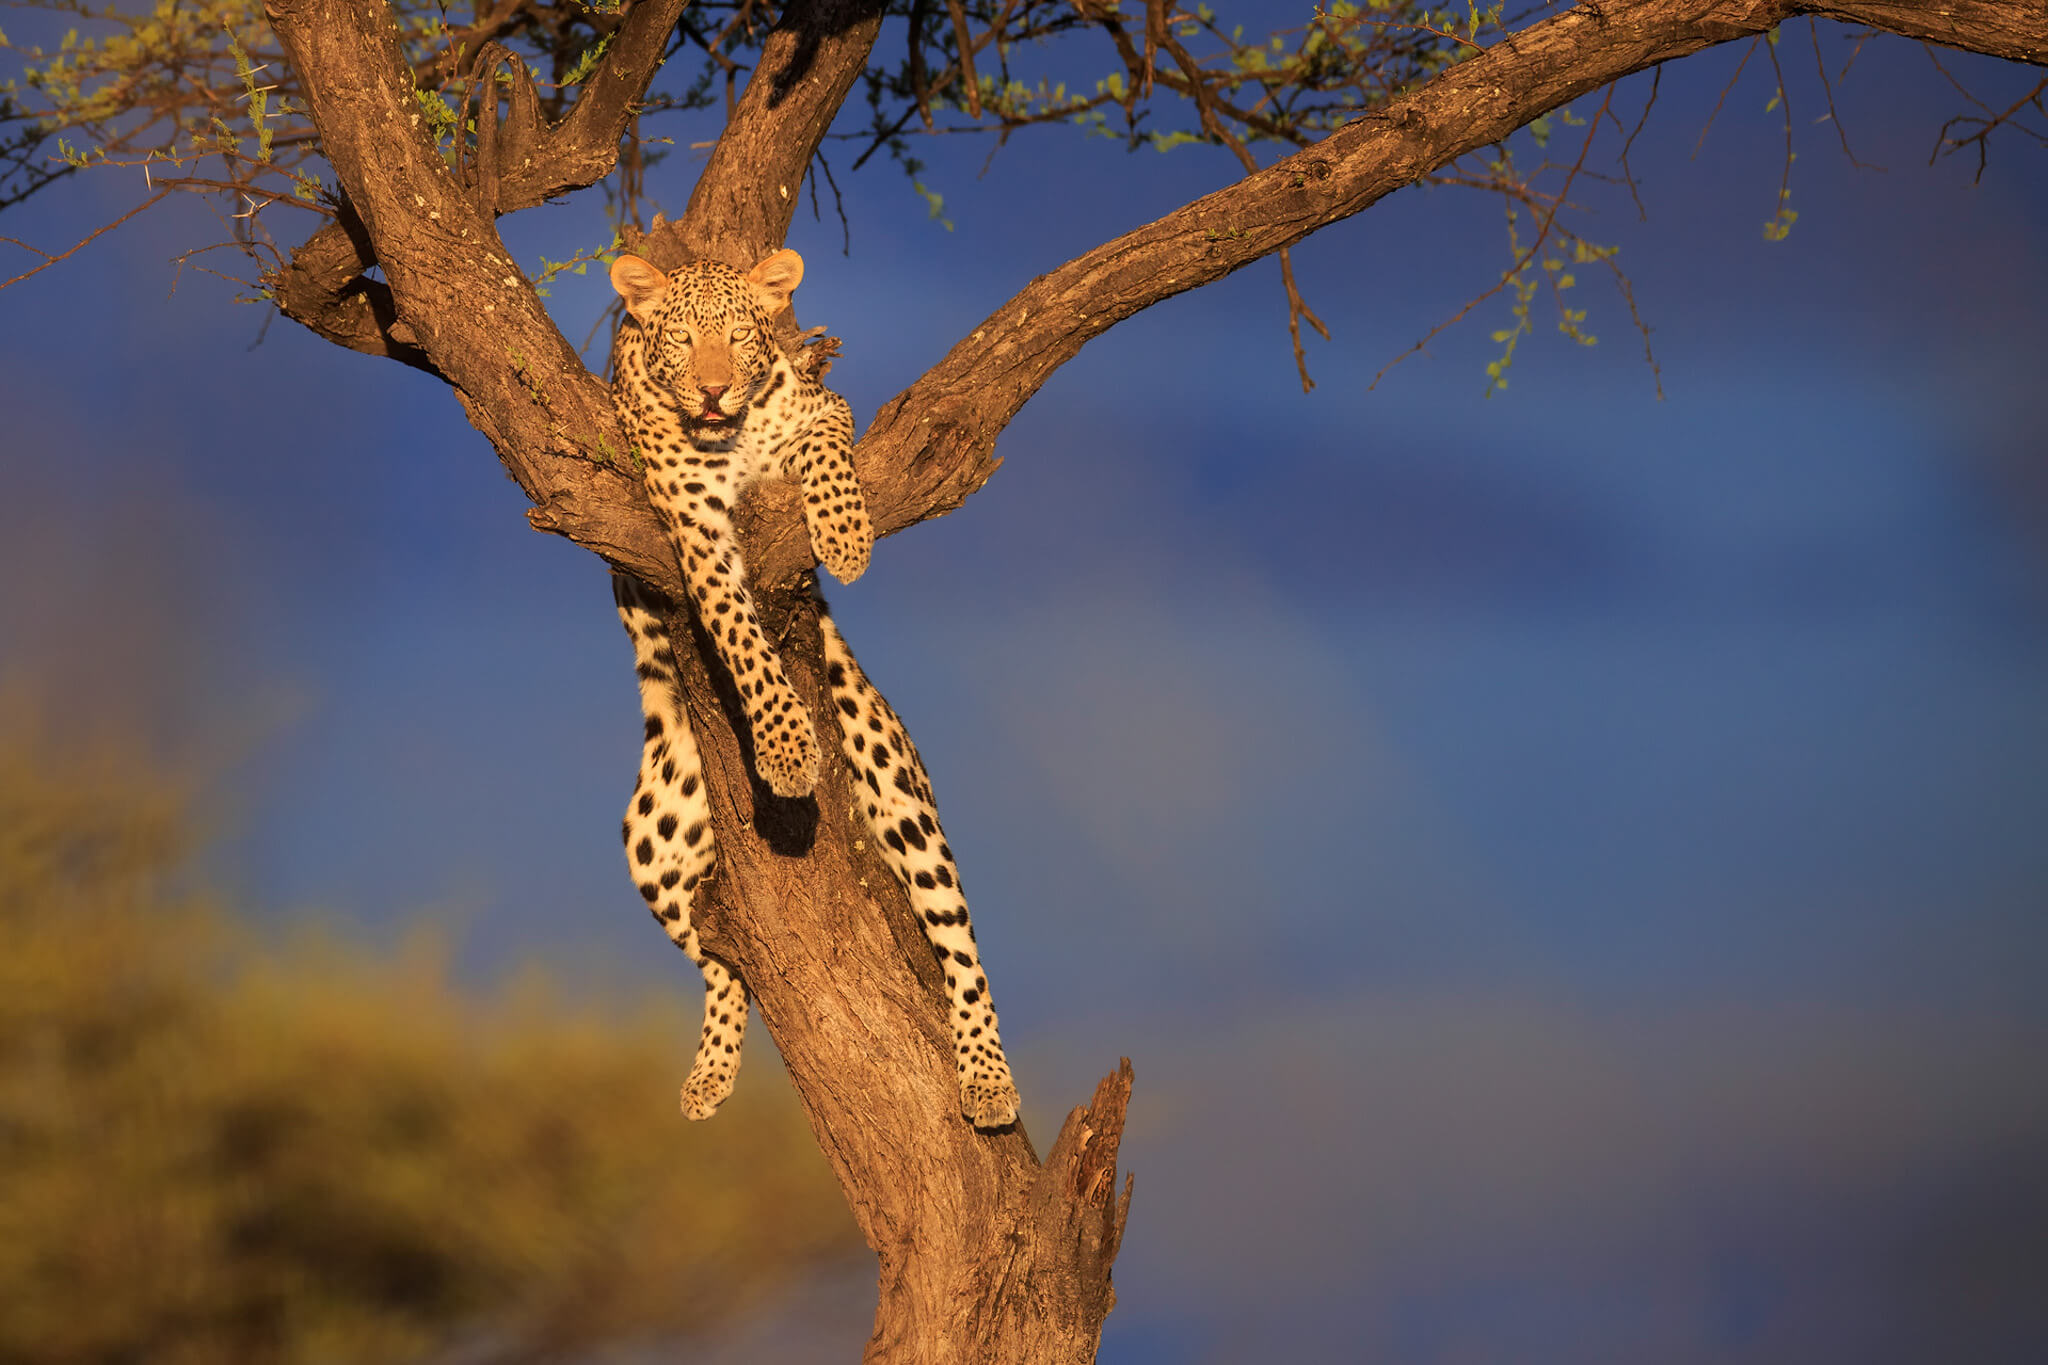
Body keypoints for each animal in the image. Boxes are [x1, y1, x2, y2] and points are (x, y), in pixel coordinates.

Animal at [606, 248, 1020, 1130]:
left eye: (739, 336)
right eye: (681, 339)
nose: (714, 391)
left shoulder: (822, 407)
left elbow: (829, 450)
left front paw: (846, 538)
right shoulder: (693, 519)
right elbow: (736, 629)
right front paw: (787, 746)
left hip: (896, 786)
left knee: (962, 947)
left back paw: (988, 1080)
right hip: (657, 838)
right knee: (724, 960)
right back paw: (708, 1076)